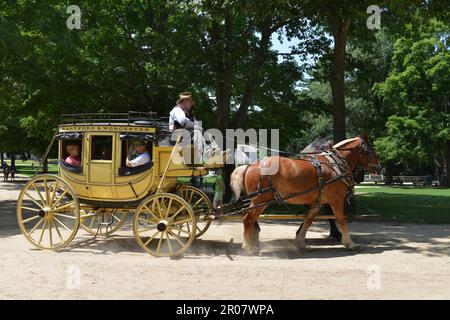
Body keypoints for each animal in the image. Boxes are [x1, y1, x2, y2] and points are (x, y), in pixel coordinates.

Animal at [230, 136, 382, 255]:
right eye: (370, 151)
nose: (380, 168)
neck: (335, 164)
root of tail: (250, 166)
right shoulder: (336, 200)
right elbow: (341, 219)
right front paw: (349, 243)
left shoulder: (317, 202)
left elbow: (308, 220)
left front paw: (300, 242)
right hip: (260, 200)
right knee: (248, 219)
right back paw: (249, 247)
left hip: (263, 201)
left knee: (251, 219)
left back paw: (251, 243)